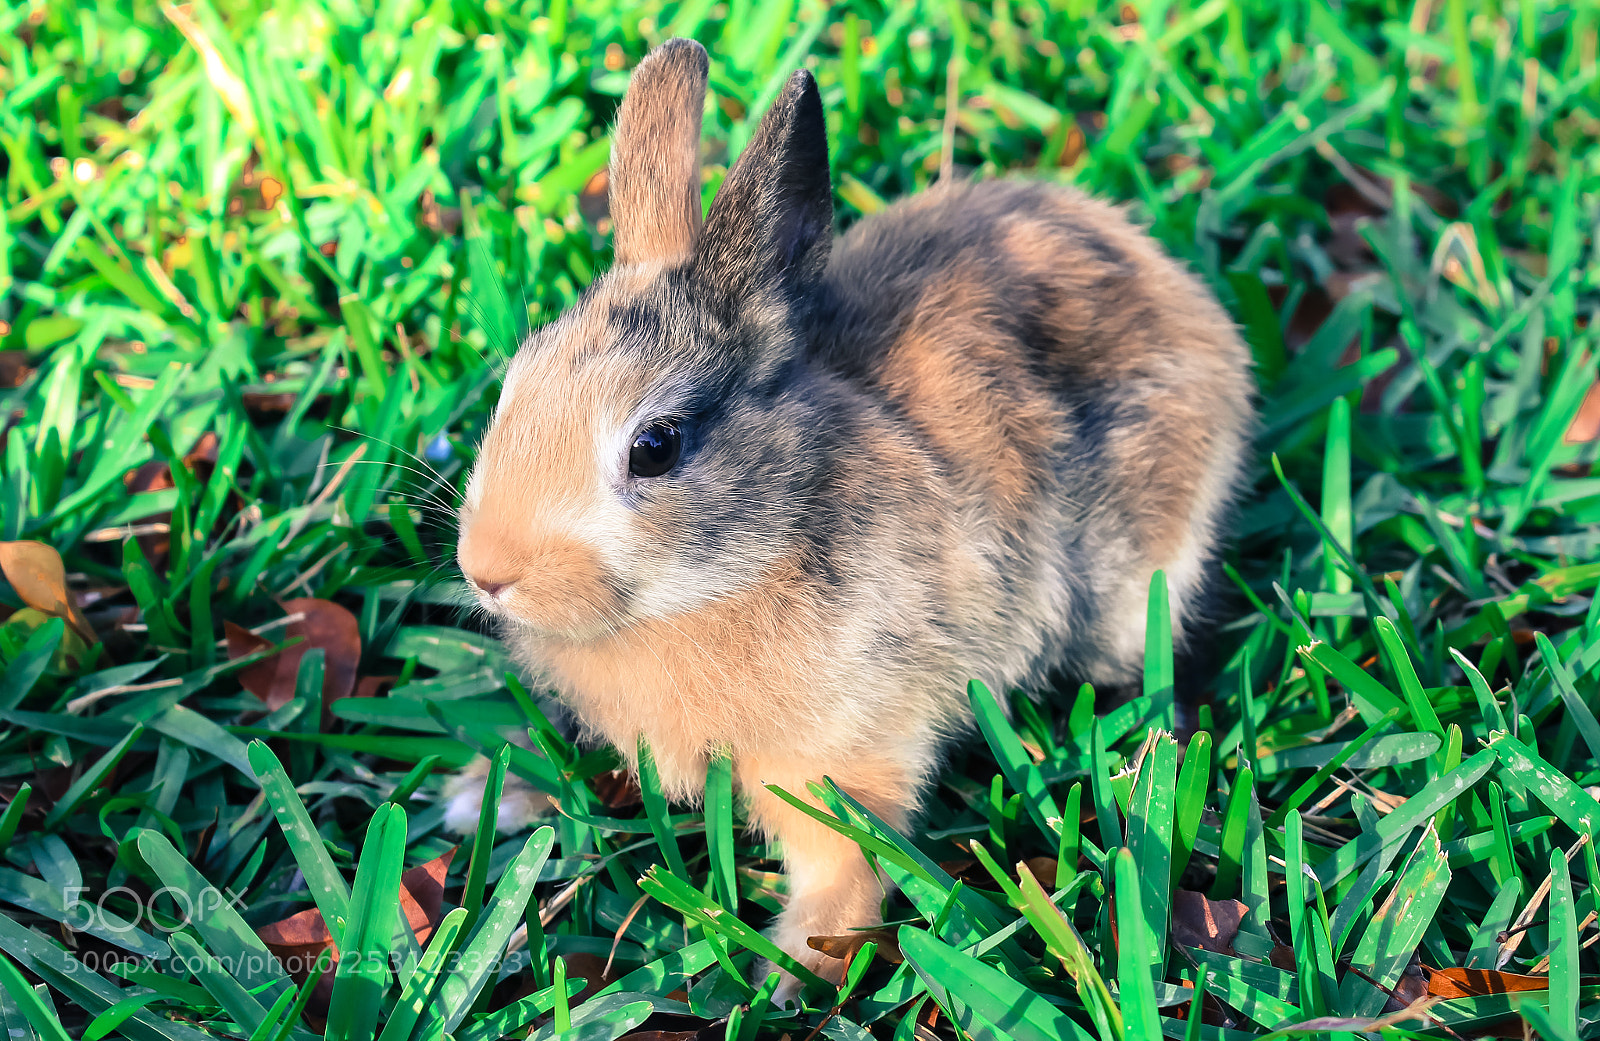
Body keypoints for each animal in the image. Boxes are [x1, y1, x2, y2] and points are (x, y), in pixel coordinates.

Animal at [452, 37, 1253, 997]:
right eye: (513, 385)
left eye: (655, 445)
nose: (488, 571)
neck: (747, 558)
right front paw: (483, 796)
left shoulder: (843, 759)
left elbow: (847, 869)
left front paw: (782, 972)